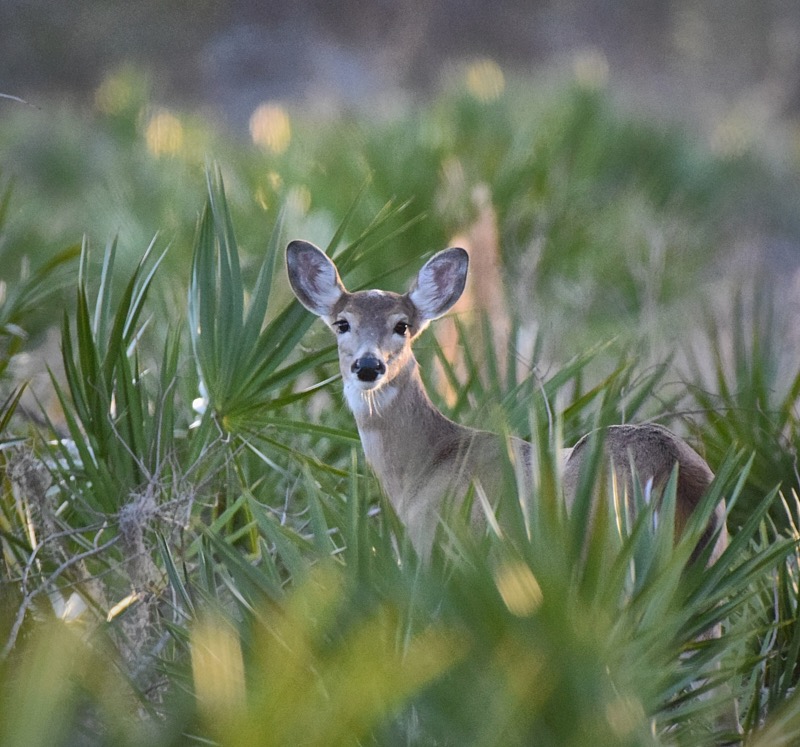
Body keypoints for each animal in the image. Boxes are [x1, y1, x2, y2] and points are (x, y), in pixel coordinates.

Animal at [288, 243, 732, 564]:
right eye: (342, 323)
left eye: (402, 325)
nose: (368, 366)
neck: (424, 466)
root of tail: (673, 476)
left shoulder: (437, 546)